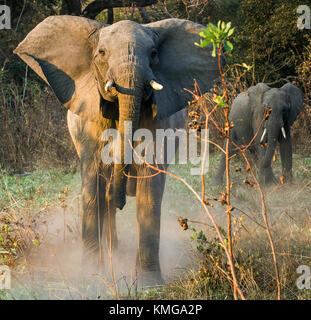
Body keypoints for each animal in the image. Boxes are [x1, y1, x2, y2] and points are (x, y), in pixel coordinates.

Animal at [14, 15, 219, 284]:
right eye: (101, 53)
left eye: (154, 53)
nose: (121, 199)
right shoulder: (90, 123)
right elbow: (93, 186)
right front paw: (92, 276)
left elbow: (149, 189)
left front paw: (148, 283)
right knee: (103, 198)